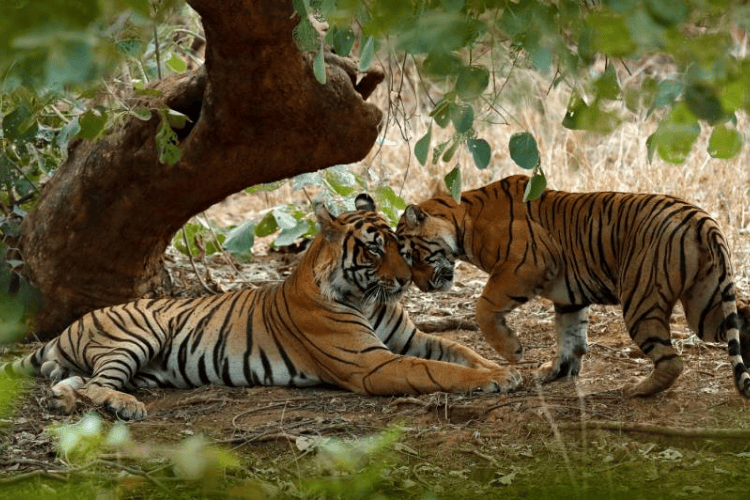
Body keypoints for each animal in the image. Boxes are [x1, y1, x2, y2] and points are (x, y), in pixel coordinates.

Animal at [2, 194, 521, 420]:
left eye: (400, 245)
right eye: (375, 251)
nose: (403, 281)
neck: (367, 298)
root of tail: (67, 328)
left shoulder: (413, 338)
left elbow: (462, 352)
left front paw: (508, 368)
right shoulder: (372, 363)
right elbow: (441, 371)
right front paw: (496, 379)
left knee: (73, 383)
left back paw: (69, 398)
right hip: (135, 335)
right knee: (97, 386)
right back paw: (125, 407)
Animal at [396, 175, 750, 398]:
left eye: (411, 255)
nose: (421, 286)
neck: (463, 220)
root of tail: (701, 218)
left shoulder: (524, 265)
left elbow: (484, 307)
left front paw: (513, 350)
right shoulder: (568, 295)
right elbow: (570, 336)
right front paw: (557, 370)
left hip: (641, 299)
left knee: (672, 361)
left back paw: (637, 389)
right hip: (704, 303)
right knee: (740, 318)